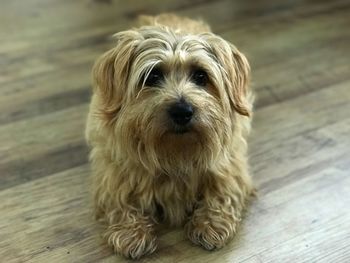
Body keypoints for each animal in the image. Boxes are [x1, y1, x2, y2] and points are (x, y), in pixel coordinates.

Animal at [85, 13, 254, 260]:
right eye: (153, 76)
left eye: (201, 76)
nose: (182, 111)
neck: (175, 153)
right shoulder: (112, 174)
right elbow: (120, 200)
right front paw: (131, 233)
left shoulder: (230, 167)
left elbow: (223, 192)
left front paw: (211, 224)